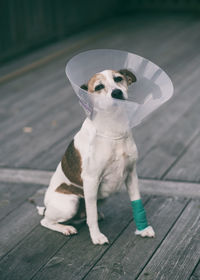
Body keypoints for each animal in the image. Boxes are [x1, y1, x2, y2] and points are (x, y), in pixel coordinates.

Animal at [37, 69, 155, 245]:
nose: (116, 92)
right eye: (99, 87)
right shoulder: (91, 180)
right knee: (46, 220)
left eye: (118, 79)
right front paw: (97, 237)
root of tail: (46, 206)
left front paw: (143, 229)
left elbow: (136, 202)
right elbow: (91, 216)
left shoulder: (131, 174)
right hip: (70, 203)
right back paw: (65, 228)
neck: (113, 127)